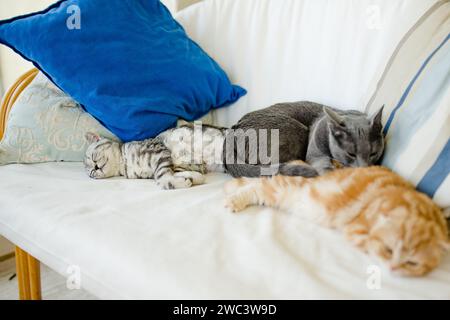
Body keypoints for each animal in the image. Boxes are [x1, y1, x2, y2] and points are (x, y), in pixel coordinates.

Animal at [223, 101, 384, 178]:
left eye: (373, 154)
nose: (363, 169)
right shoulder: (315, 151)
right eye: (350, 154)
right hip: (296, 131)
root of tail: (233, 130)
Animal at [223, 166, 448, 276]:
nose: (393, 269)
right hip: (295, 192)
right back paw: (233, 198)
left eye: (412, 263)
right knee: (262, 183)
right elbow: (369, 245)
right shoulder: (356, 230)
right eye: (389, 250)